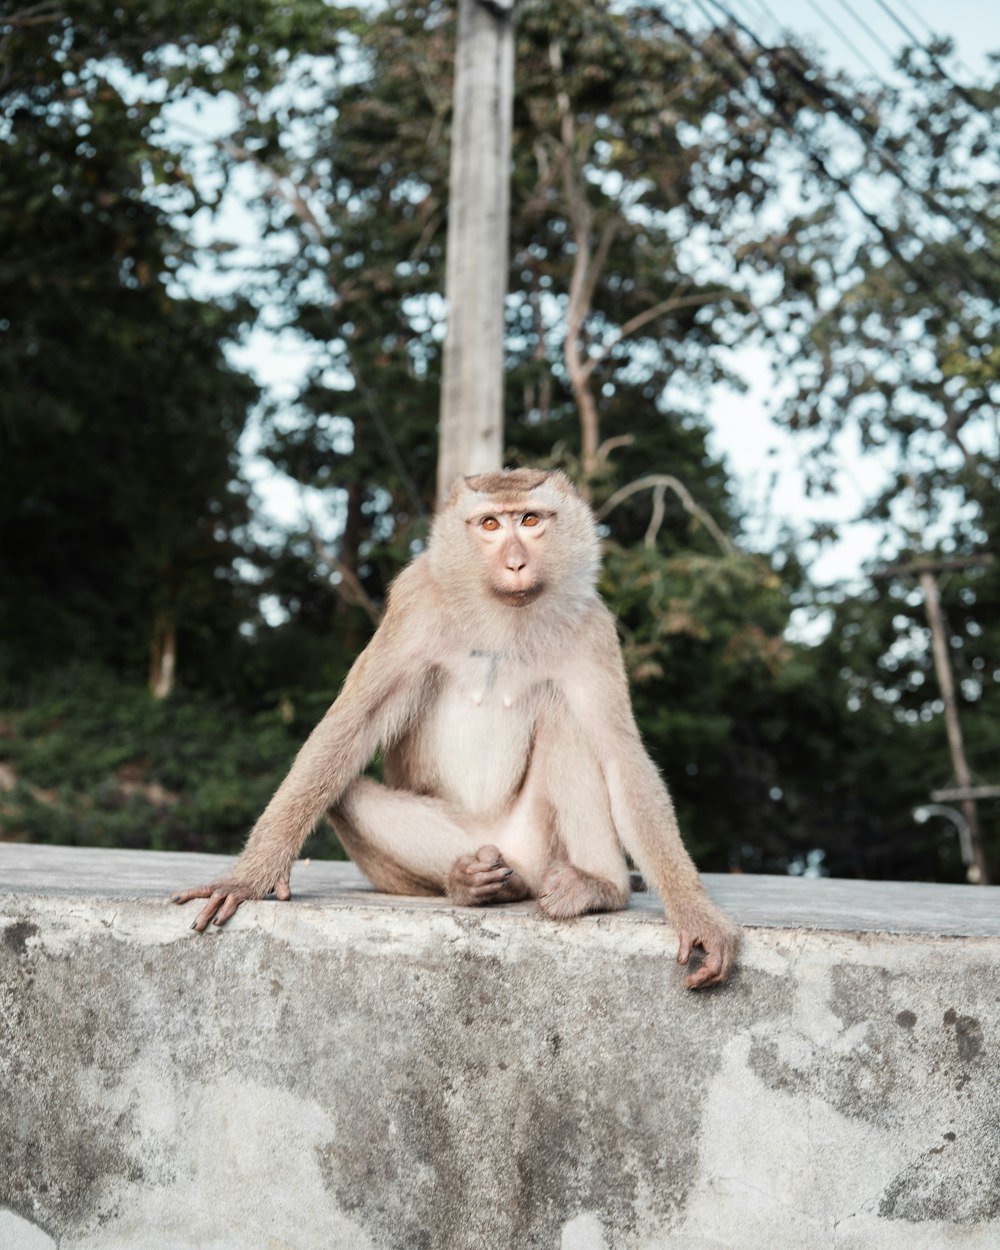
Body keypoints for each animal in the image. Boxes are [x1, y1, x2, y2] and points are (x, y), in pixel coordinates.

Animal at [172, 467, 740, 985]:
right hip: (470, 842)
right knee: (347, 793)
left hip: (538, 844)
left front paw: (695, 912)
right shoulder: (414, 604)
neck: (502, 614)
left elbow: (620, 755)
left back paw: (599, 886)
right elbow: (349, 728)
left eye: (530, 520)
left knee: (568, 722)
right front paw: (251, 877)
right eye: (489, 523)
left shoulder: (593, 627)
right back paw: (468, 882)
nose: (515, 562)